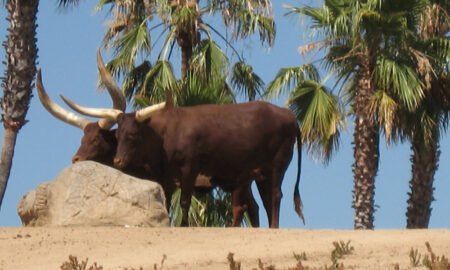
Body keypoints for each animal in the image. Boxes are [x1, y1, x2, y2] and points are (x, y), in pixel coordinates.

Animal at [60, 88, 306, 228]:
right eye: (118, 136)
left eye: (133, 135)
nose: (76, 159)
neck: (163, 135)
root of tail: (289, 116)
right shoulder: (166, 180)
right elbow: (167, 204)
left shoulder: (189, 171)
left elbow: (185, 201)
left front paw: (184, 225)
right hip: (254, 175)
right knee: (258, 203)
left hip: (274, 168)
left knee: (272, 197)